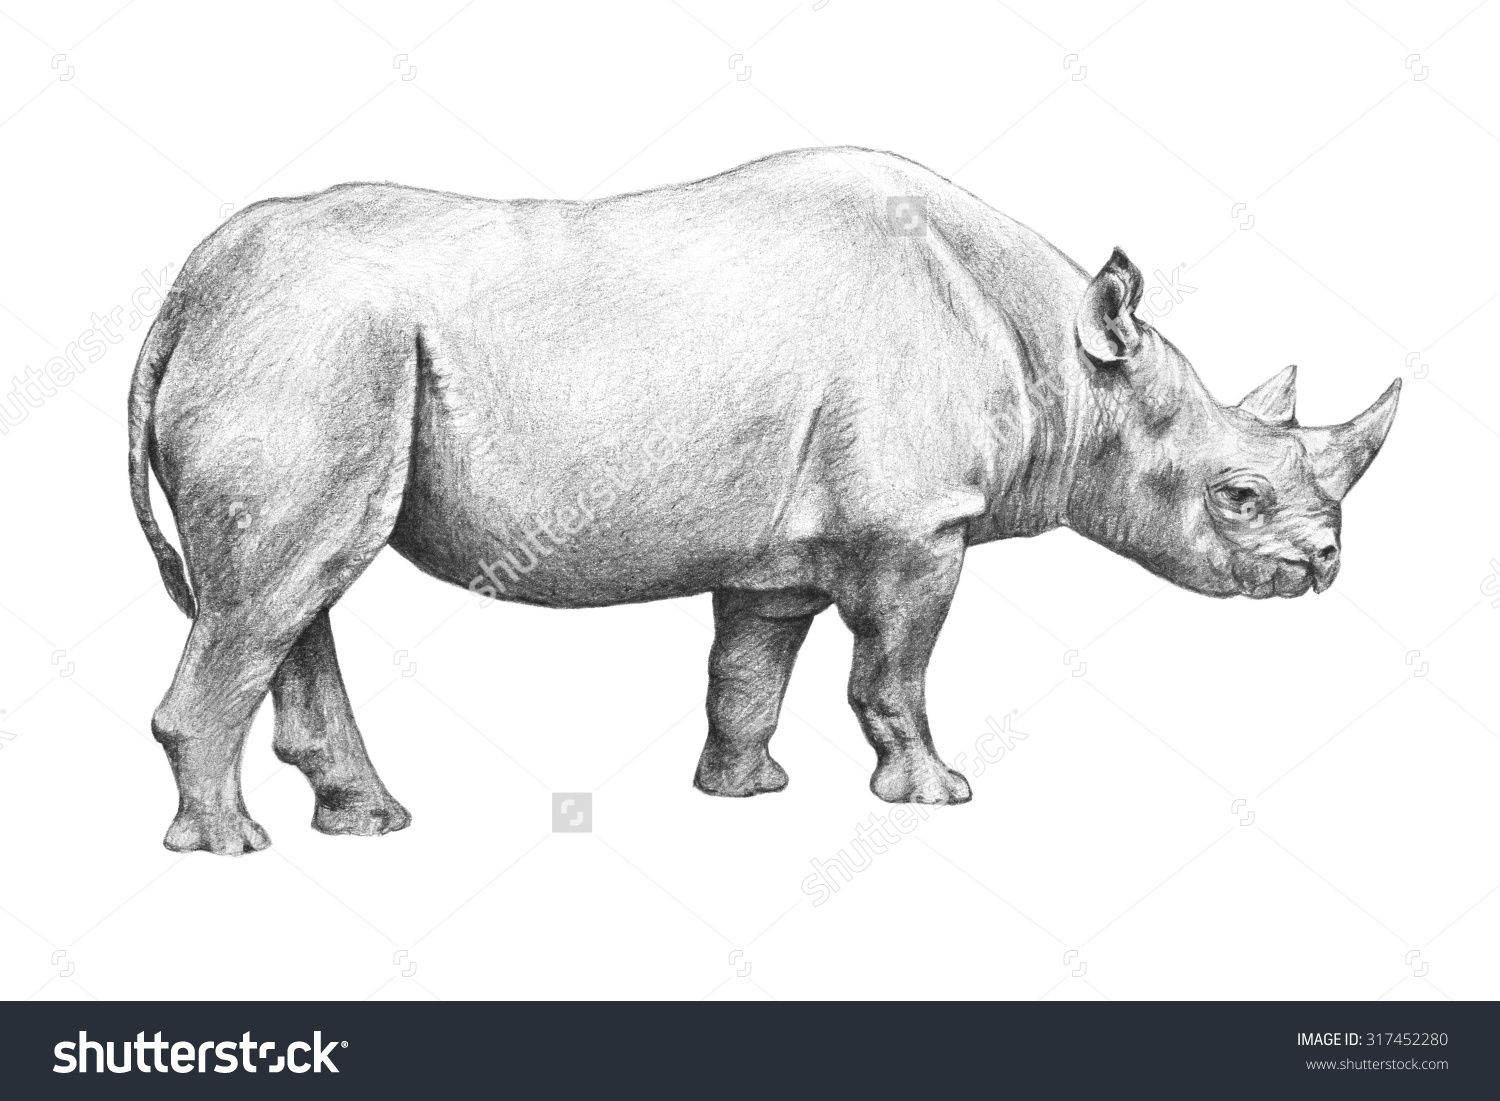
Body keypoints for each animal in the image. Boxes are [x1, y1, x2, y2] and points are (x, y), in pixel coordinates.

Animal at [128, 147, 1399, 855]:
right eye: (1238, 496)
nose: (1325, 566)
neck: (1070, 369)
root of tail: (188, 291)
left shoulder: (779, 553)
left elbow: (749, 672)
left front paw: (742, 792)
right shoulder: (917, 528)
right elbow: (895, 671)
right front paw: (935, 795)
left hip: (316, 347)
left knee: (295, 587)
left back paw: (366, 824)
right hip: (313, 344)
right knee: (284, 586)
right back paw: (231, 850)